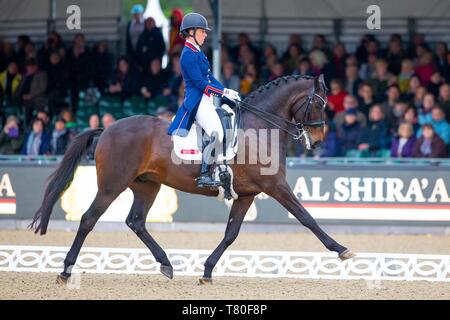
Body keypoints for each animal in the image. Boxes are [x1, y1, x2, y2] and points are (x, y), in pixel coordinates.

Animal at [30, 74, 356, 282]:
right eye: (319, 104)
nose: (317, 140)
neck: (259, 127)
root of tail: (108, 128)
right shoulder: (275, 186)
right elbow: (307, 218)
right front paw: (341, 249)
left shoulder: (247, 194)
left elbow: (231, 233)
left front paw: (207, 271)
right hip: (112, 185)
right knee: (89, 219)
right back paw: (65, 270)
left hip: (147, 185)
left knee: (136, 221)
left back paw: (166, 264)